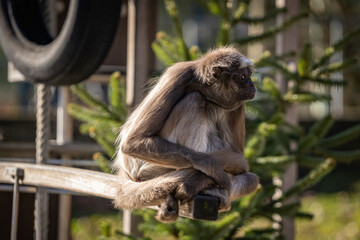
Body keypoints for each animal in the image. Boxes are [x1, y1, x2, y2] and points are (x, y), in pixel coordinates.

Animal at [114, 46, 258, 223]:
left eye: (249, 76)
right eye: (243, 77)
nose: (252, 84)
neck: (206, 91)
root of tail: (125, 169)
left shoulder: (238, 103)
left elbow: (237, 158)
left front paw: (204, 183)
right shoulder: (178, 75)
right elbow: (133, 142)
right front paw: (211, 170)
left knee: (250, 179)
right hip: (147, 167)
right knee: (194, 99)